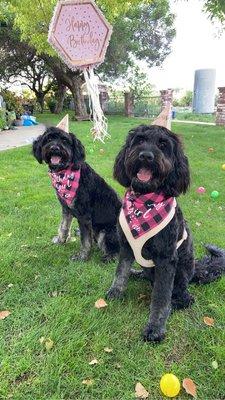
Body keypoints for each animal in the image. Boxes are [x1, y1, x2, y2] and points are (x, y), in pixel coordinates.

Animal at [31, 126, 121, 260]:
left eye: (64, 140)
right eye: (49, 139)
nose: (54, 148)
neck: (64, 173)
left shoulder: (83, 215)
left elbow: (85, 240)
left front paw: (82, 257)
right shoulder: (66, 209)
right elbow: (63, 227)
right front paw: (60, 241)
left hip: (106, 231)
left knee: (117, 251)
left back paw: (108, 257)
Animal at [106, 124, 225, 340]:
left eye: (163, 145)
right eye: (140, 140)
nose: (146, 156)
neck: (144, 201)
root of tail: (196, 270)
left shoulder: (166, 259)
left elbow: (161, 298)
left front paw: (155, 328)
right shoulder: (126, 247)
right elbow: (121, 273)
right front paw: (116, 292)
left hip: (181, 273)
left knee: (184, 296)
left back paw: (176, 302)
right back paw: (138, 274)